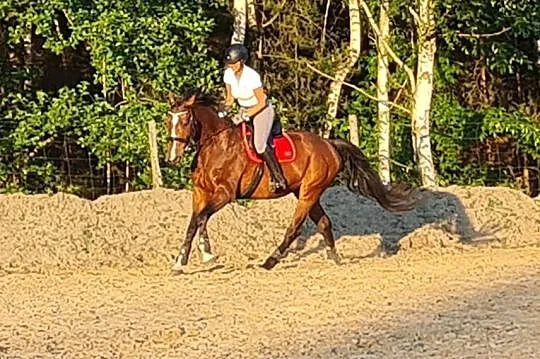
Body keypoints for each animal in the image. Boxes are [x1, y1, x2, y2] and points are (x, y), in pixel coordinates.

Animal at [165, 89, 418, 272]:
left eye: (185, 121)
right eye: (170, 121)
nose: (172, 158)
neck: (216, 145)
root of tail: (329, 144)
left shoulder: (225, 194)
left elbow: (201, 218)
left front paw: (206, 254)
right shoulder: (200, 192)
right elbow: (195, 221)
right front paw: (181, 261)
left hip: (309, 192)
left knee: (295, 228)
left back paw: (270, 261)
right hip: (305, 192)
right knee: (324, 222)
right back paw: (334, 258)